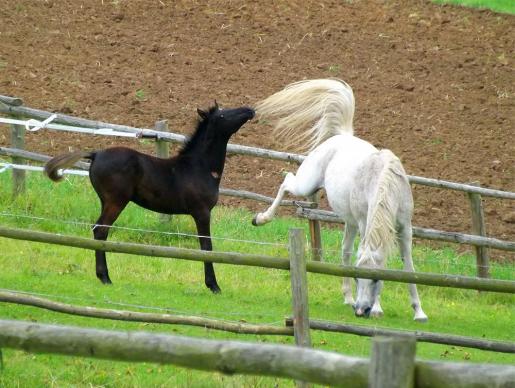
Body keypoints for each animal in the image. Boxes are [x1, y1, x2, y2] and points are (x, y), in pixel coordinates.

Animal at [253, 78, 428, 322]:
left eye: (374, 279)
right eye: (357, 277)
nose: (361, 310)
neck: (385, 181)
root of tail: (342, 136)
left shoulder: (405, 228)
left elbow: (409, 267)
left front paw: (419, 312)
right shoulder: (366, 224)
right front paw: (378, 308)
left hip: (350, 222)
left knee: (345, 251)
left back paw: (347, 297)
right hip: (307, 184)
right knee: (286, 181)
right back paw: (261, 218)